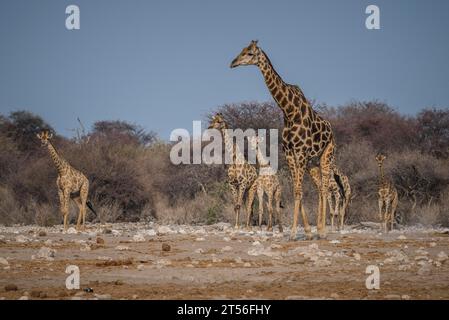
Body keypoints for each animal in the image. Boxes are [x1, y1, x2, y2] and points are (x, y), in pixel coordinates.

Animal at [231, 40, 336, 240]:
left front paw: (294, 233)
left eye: (249, 53)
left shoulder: (300, 152)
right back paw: (319, 229)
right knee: (320, 188)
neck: (289, 110)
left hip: (327, 154)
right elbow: (297, 189)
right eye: (241, 50)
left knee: (326, 187)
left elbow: (298, 191)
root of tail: (332, 130)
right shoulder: (289, 153)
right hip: (313, 161)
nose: (232, 63)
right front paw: (307, 232)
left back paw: (324, 231)